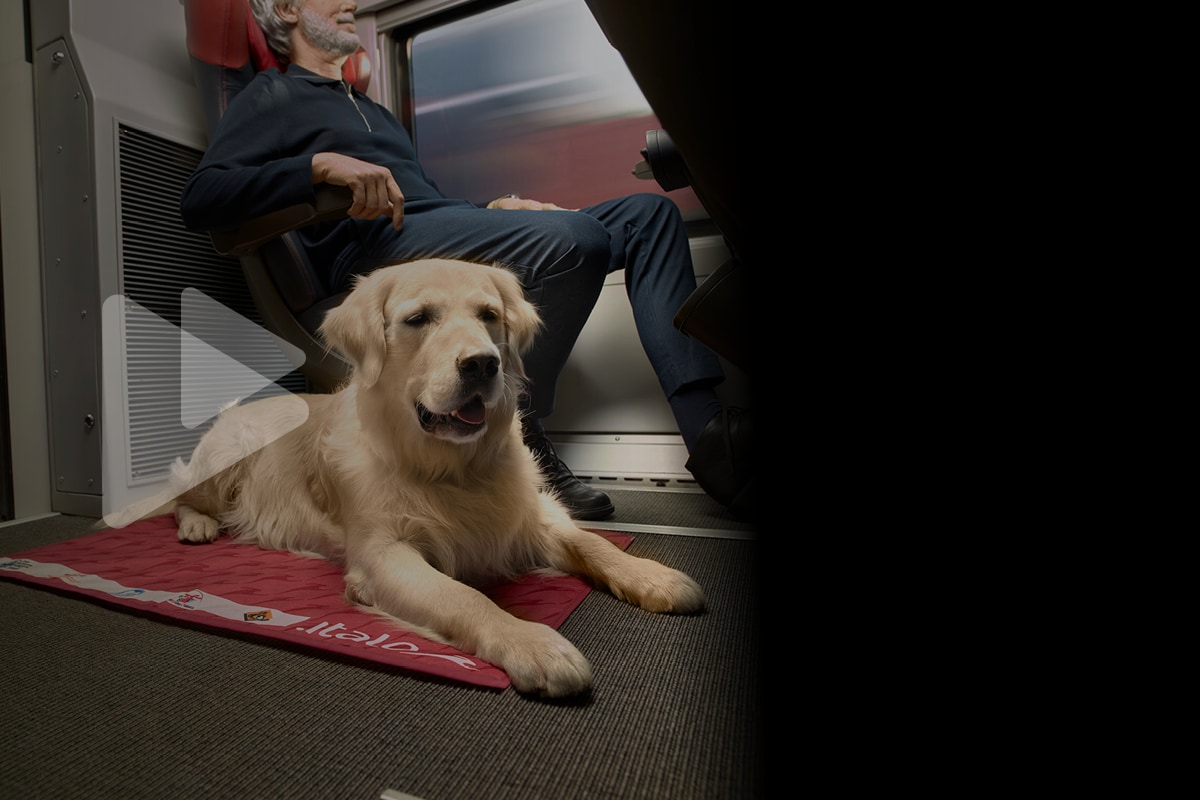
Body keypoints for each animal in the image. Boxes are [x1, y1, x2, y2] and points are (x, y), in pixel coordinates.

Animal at [162, 260, 700, 695]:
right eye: (418, 319)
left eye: (489, 315)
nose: (483, 363)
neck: (454, 468)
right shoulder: (383, 555)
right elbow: (464, 597)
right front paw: (532, 642)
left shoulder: (530, 516)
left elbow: (592, 542)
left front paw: (652, 575)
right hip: (223, 462)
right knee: (176, 496)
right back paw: (198, 525)